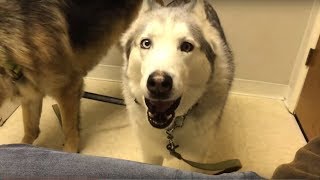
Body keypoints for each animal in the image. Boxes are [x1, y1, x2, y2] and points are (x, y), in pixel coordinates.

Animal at [0, 0, 142, 152]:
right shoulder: (31, 94)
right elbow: (30, 129)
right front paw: (22, 145)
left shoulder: (68, 90)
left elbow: (69, 128)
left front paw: (70, 150)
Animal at [121, 0, 234, 166]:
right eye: (146, 43)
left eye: (186, 46)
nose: (158, 83)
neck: (169, 128)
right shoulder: (149, 152)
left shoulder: (195, 158)